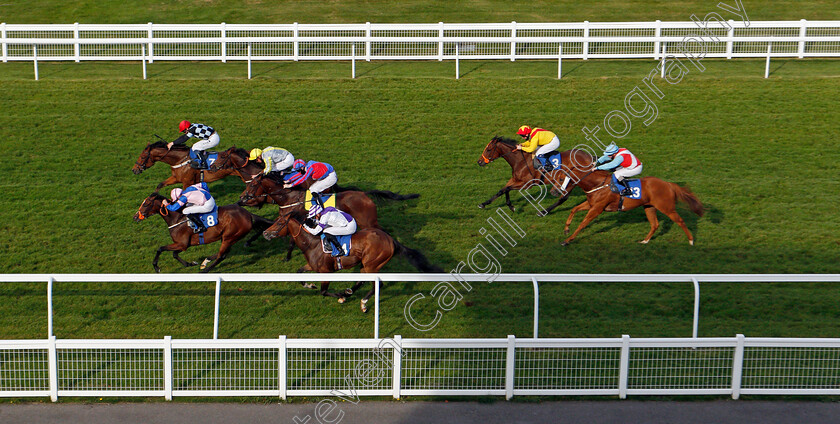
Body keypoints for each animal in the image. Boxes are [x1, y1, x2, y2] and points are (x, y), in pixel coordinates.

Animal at [133, 191, 274, 272]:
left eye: (146, 204)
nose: (135, 217)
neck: (177, 218)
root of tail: (248, 214)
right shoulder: (184, 245)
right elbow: (174, 254)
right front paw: (190, 263)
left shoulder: (182, 244)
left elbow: (160, 249)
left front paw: (156, 267)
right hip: (228, 237)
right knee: (223, 253)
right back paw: (205, 262)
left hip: (229, 236)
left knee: (222, 255)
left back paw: (205, 270)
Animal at [264, 211, 446, 314]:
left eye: (279, 222)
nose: (265, 233)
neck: (312, 243)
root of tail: (391, 240)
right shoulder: (313, 266)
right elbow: (299, 272)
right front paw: (310, 285)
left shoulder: (326, 272)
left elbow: (324, 291)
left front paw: (339, 297)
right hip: (365, 265)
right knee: (362, 280)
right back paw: (349, 291)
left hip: (372, 264)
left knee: (378, 284)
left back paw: (362, 302)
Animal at [560, 169, 704, 245]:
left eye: (561, 179)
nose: (559, 192)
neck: (597, 184)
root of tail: (668, 184)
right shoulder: (591, 204)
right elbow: (574, 209)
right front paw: (566, 229)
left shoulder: (597, 208)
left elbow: (583, 223)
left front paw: (567, 240)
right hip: (649, 207)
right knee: (655, 224)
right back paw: (645, 241)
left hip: (666, 208)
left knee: (680, 221)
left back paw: (691, 240)